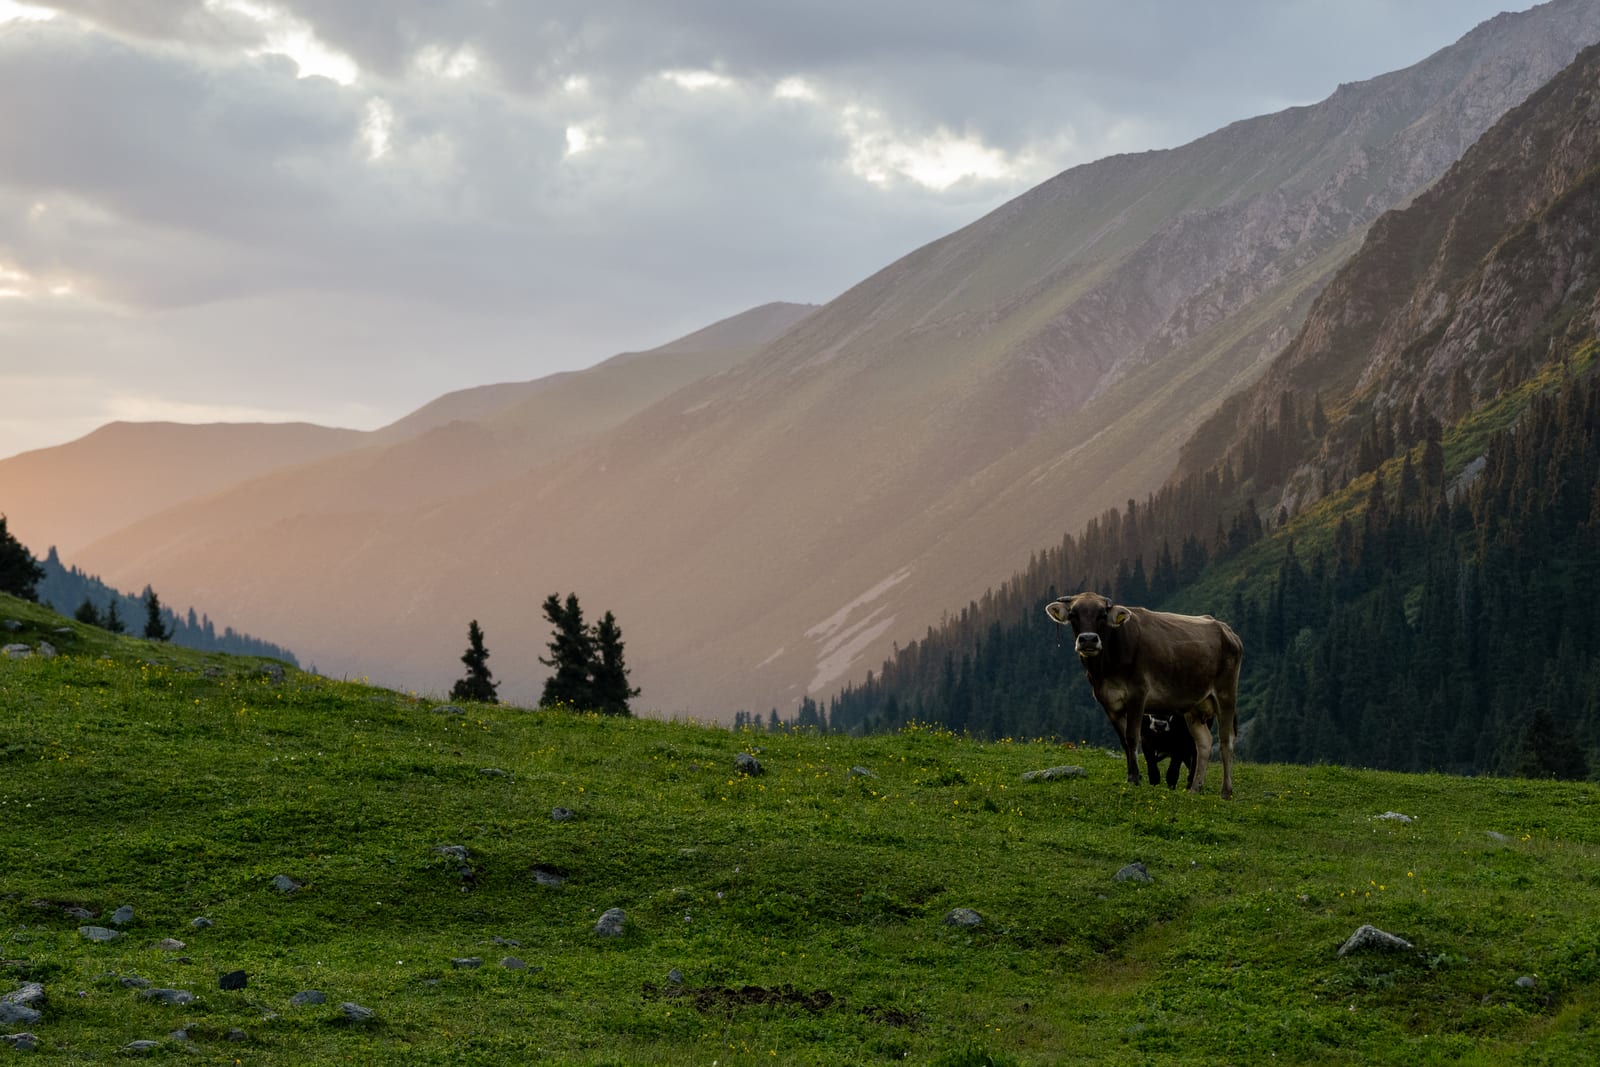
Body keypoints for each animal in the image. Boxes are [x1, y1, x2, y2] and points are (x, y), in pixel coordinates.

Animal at [1045, 591, 1243, 798]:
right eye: (1073, 615)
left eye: (1102, 615)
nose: (1089, 639)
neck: (1106, 667)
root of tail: (1227, 631)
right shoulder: (1108, 703)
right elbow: (1124, 741)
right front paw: (1133, 776)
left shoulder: (1138, 695)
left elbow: (1133, 737)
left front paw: (1134, 779)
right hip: (1195, 706)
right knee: (1204, 742)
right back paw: (1195, 788)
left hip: (1226, 694)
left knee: (1226, 741)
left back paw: (1226, 791)